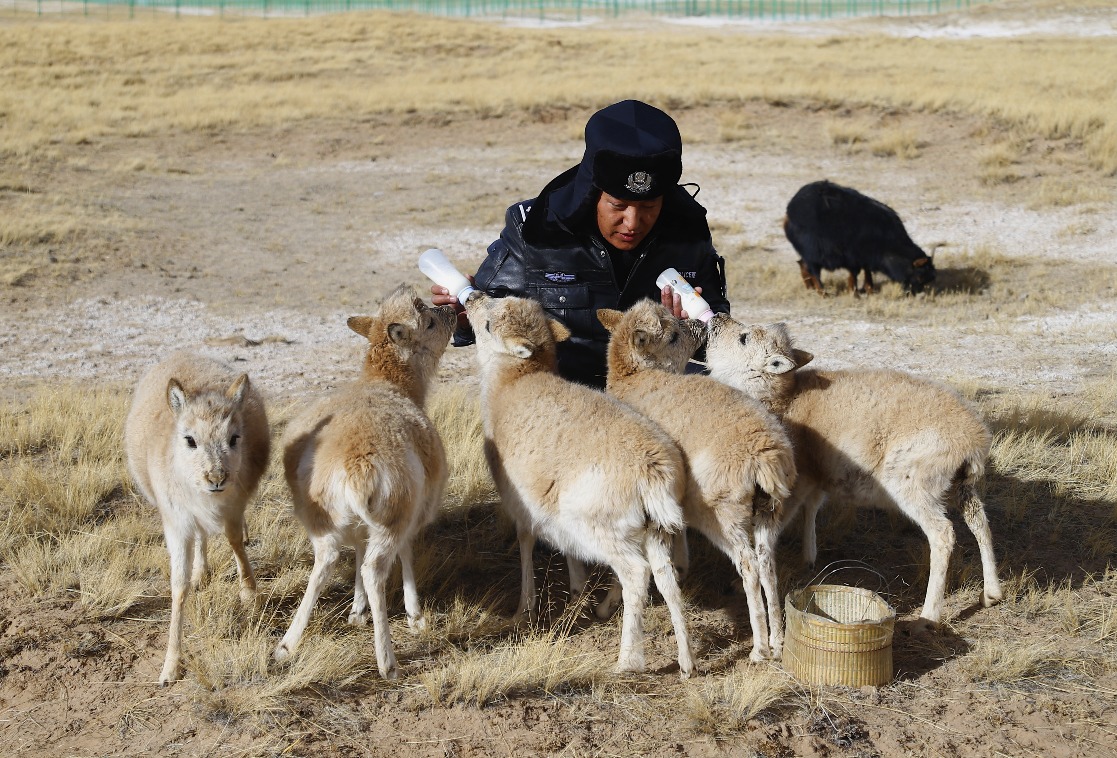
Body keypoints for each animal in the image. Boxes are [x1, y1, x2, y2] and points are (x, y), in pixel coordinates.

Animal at [125, 352, 270, 683]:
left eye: (234, 438)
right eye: (189, 439)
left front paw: (249, 594)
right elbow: (179, 587)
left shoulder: (233, 507)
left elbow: (235, 543)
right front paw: (170, 665)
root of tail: (184, 354)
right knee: (201, 538)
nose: (216, 478)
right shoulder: (177, 525)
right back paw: (201, 572)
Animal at [598, 299, 799, 660]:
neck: (633, 379)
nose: (702, 324)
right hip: (768, 511)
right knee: (767, 563)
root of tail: (764, 454)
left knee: (748, 565)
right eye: (673, 335)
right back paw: (777, 640)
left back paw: (759, 647)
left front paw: (609, 603)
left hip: (722, 513)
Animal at [705, 317, 1005, 629]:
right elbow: (811, 510)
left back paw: (929, 615)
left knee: (943, 534)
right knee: (979, 521)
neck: (783, 399)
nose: (716, 319)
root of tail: (973, 439)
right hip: (962, 484)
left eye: (743, 338)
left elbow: (774, 528)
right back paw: (992, 593)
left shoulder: (794, 483)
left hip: (912, 483)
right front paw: (809, 557)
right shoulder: (817, 476)